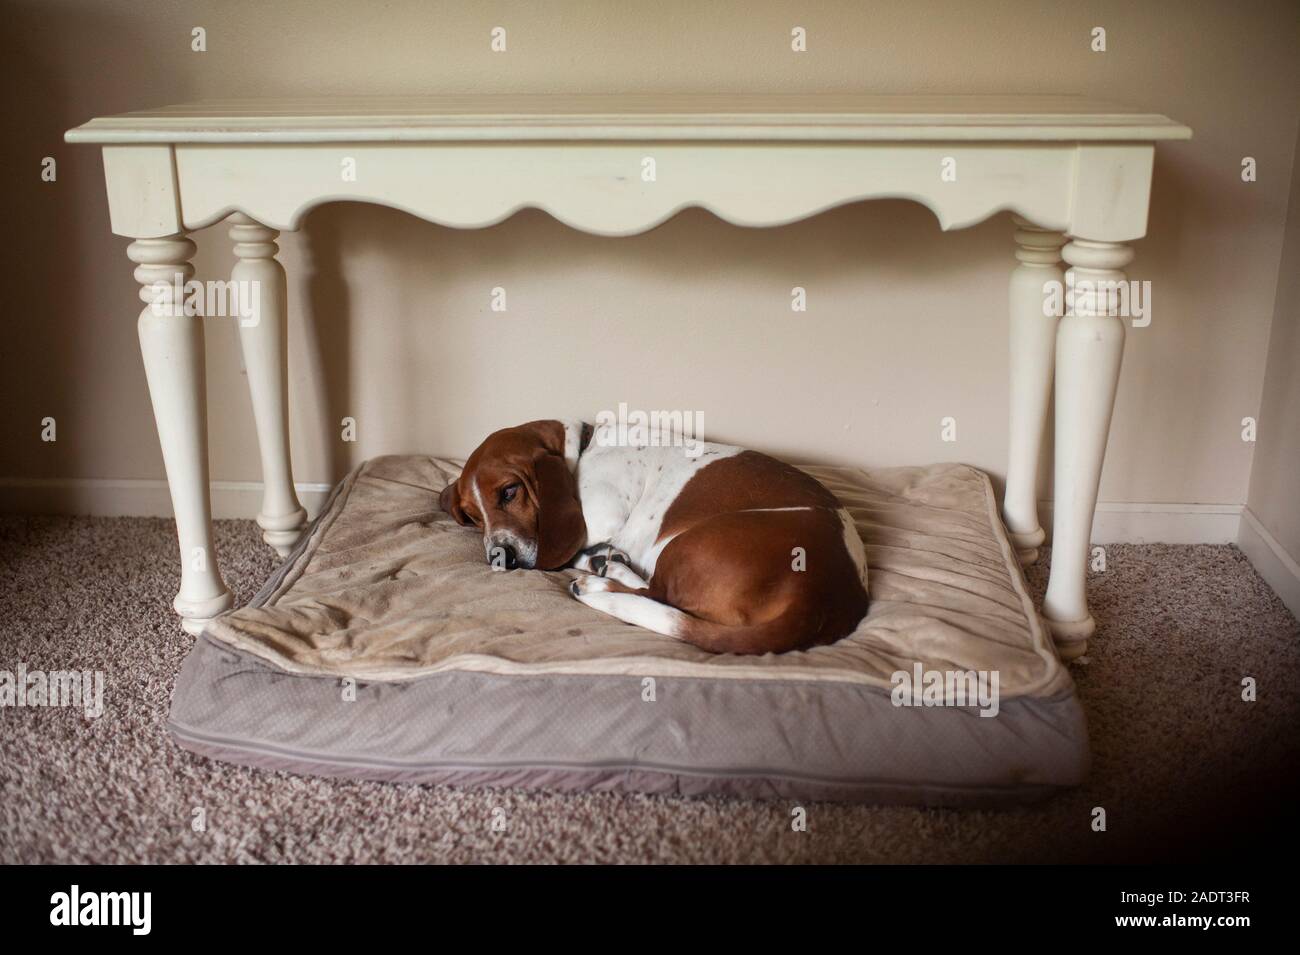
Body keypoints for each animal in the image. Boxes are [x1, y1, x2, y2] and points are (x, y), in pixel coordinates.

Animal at [439, 420, 873, 657]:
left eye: (509, 492)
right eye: (472, 516)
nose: (501, 557)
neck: (583, 448)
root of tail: (823, 598)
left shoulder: (600, 519)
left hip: (689, 542)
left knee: (658, 595)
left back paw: (600, 580)